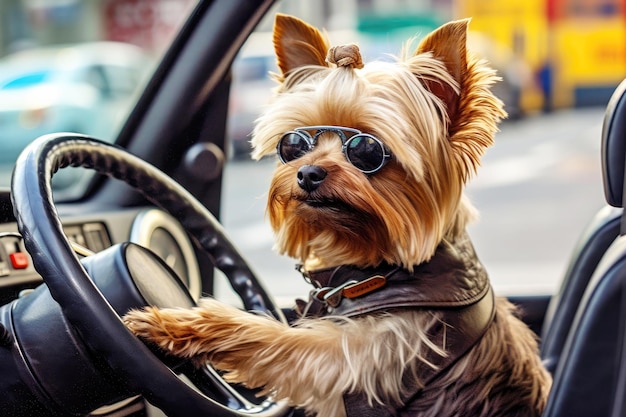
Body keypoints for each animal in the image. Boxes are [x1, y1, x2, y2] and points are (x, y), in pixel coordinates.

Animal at [123, 13, 552, 416]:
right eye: (294, 144)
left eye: (367, 149)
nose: (307, 173)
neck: (376, 271)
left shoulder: (366, 359)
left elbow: (273, 339)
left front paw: (176, 323)